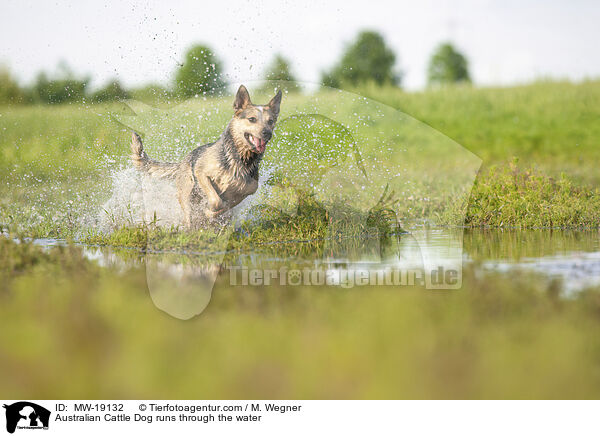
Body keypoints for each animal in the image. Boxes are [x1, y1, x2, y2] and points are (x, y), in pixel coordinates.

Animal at [129, 85, 282, 228]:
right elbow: (216, 200)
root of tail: (183, 161)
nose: (267, 133)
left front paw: (212, 213)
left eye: (271, 121)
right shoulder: (201, 173)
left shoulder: (248, 190)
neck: (238, 158)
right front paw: (209, 211)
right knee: (188, 215)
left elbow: (228, 203)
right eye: (252, 119)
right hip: (187, 194)